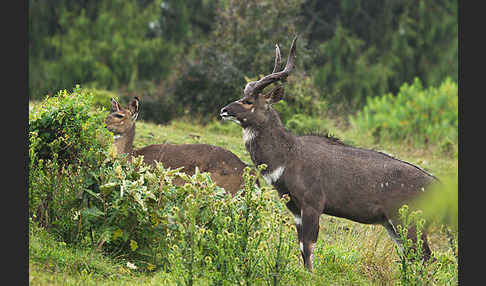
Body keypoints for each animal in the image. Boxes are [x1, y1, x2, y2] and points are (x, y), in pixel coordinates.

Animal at [220, 36, 436, 272]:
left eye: (248, 101)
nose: (224, 110)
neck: (289, 155)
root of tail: (436, 184)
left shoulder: (313, 204)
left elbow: (308, 247)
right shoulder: (295, 209)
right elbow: (301, 247)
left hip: (408, 222)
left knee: (426, 257)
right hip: (392, 224)